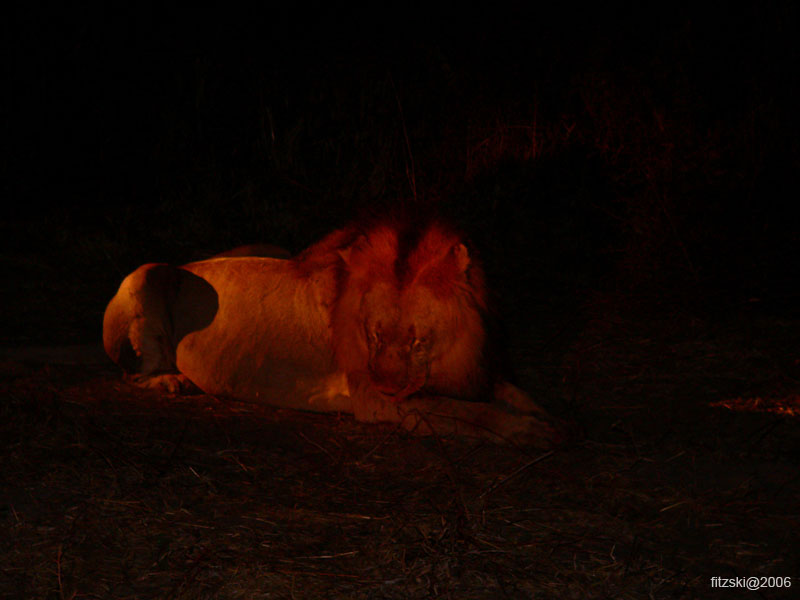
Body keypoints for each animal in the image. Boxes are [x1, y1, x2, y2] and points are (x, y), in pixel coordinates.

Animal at [101, 220, 564, 446]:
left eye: (416, 339)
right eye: (374, 335)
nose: (389, 384)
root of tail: (188, 263)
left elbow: (505, 392)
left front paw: (542, 414)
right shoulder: (378, 401)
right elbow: (467, 412)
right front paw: (528, 430)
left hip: (275, 248)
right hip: (143, 275)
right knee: (131, 372)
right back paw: (171, 380)